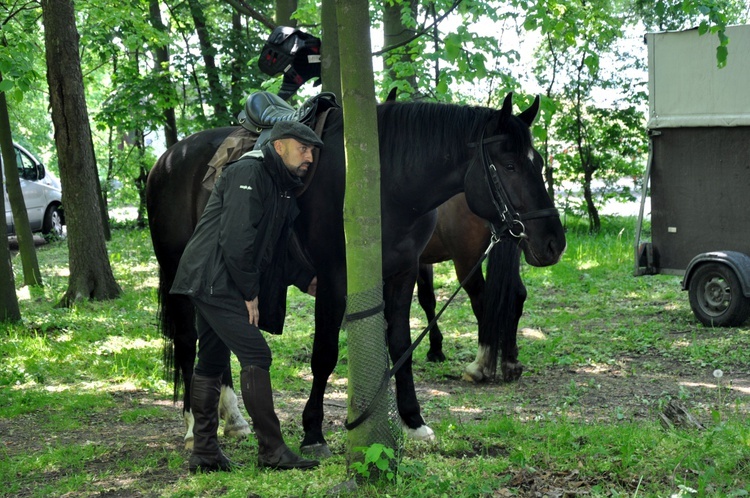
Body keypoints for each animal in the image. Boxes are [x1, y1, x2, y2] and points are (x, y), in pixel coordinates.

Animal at [147, 92, 564, 456]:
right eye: (509, 166)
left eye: (538, 163)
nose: (553, 242)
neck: (384, 183)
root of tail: (167, 158)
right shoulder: (334, 279)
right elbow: (325, 355)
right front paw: (313, 432)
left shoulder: (403, 273)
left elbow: (400, 344)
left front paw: (413, 420)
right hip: (180, 271)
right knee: (187, 340)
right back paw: (192, 424)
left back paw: (233, 417)